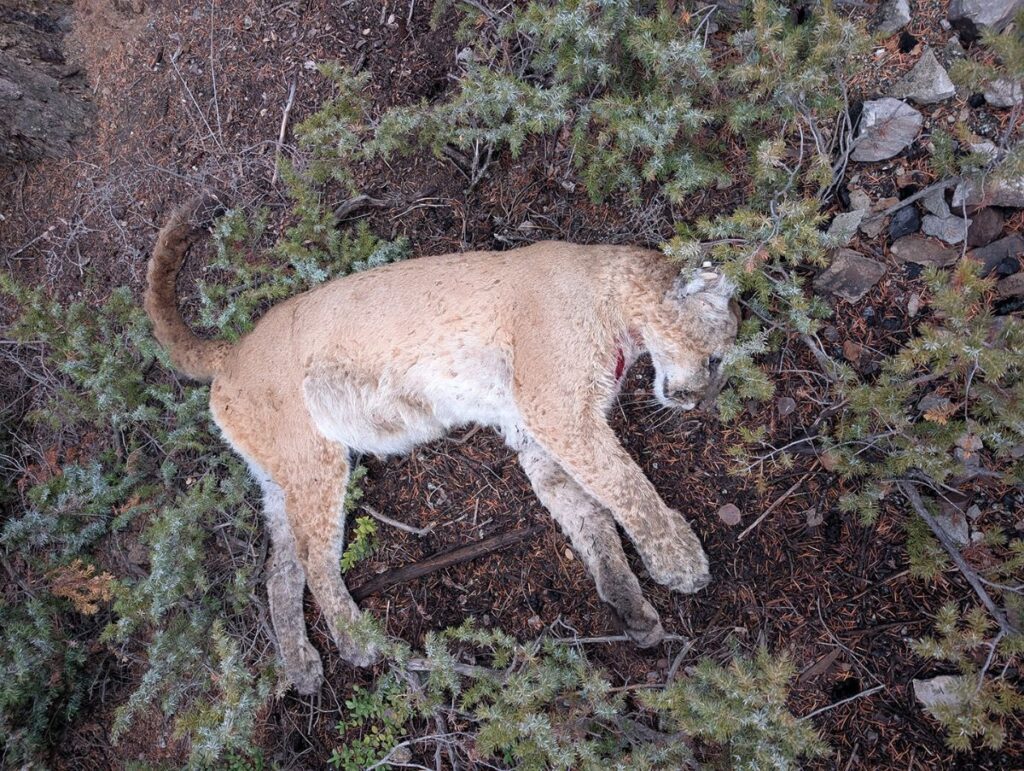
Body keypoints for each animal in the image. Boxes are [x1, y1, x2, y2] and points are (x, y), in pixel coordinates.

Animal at [145, 198, 739, 693]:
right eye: (715, 359)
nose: (703, 404)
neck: (614, 295)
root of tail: (233, 348)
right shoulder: (559, 410)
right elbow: (625, 485)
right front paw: (679, 559)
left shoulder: (536, 430)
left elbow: (588, 516)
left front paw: (628, 602)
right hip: (315, 461)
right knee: (315, 560)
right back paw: (360, 642)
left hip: (282, 475)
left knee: (280, 571)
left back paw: (301, 665)